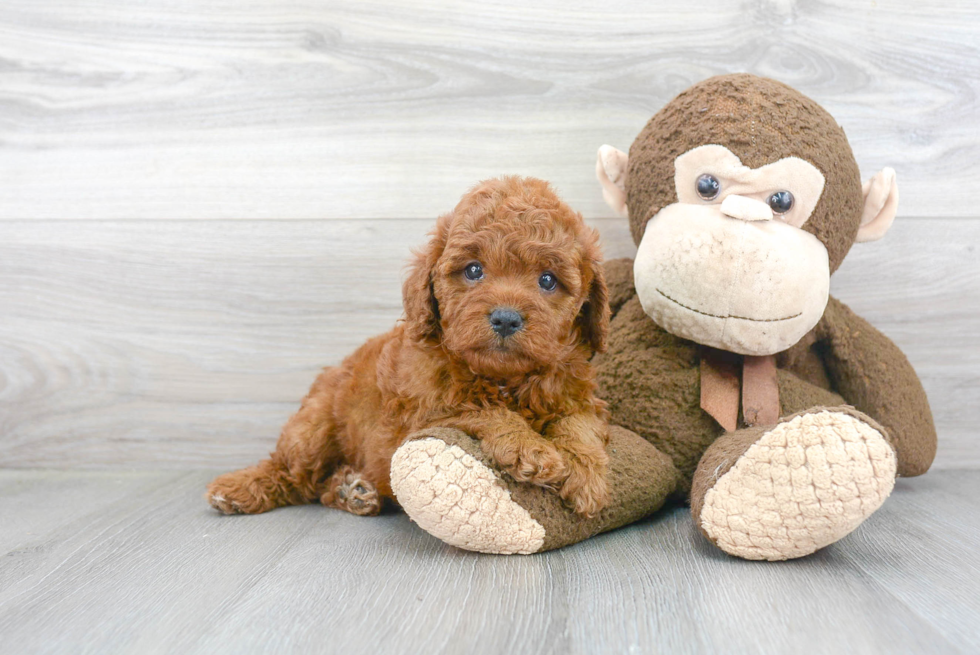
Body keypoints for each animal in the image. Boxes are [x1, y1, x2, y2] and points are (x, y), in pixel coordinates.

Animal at [208, 177, 612, 520]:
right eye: (474, 270)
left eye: (548, 280)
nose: (506, 319)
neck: (503, 378)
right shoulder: (424, 413)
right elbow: (481, 409)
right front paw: (529, 448)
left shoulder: (576, 394)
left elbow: (579, 424)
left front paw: (587, 475)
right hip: (313, 427)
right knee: (293, 474)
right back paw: (240, 488)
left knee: (318, 487)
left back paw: (352, 490)